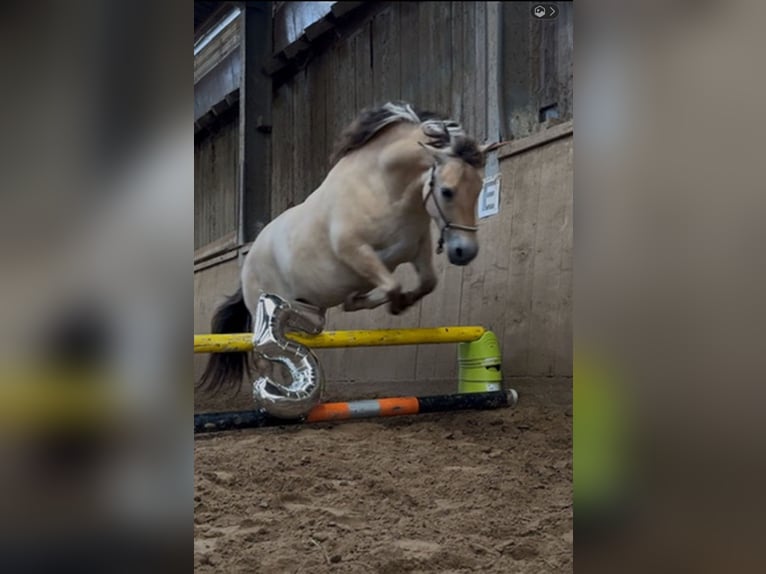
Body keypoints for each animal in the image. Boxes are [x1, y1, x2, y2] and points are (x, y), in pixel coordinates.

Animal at [199, 101, 504, 395]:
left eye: (478, 188)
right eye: (447, 191)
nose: (465, 252)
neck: (384, 189)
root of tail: (248, 264)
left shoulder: (417, 249)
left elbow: (427, 282)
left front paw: (384, 301)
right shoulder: (356, 252)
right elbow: (391, 286)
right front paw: (375, 301)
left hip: (306, 308)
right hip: (265, 309)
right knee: (266, 359)